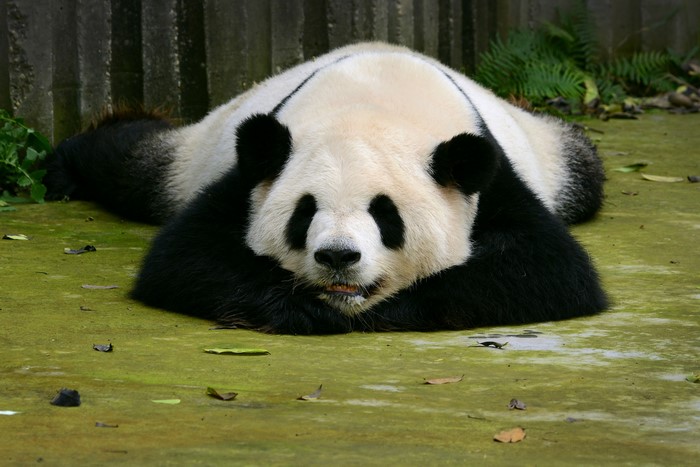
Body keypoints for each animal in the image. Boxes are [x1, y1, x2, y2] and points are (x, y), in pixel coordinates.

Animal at [45, 42, 607, 334]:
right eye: (305, 212)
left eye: (386, 215)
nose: (338, 256)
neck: (374, 100)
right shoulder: (254, 170)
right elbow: (186, 256)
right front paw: (303, 308)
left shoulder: (486, 179)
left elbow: (548, 269)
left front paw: (388, 309)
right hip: (201, 149)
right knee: (135, 169)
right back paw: (62, 168)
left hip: (551, 156)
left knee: (584, 173)